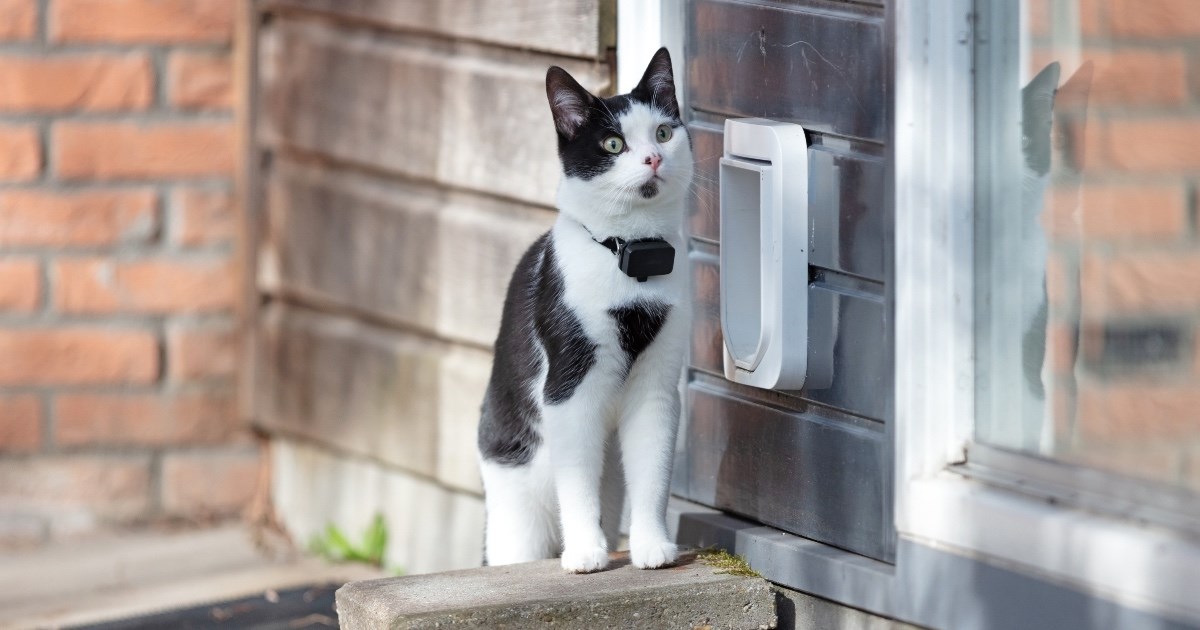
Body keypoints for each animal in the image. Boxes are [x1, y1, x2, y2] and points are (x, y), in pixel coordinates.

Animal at [472, 46, 691, 571]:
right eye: (612, 144)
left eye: (663, 132)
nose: (653, 157)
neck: (632, 257)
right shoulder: (569, 387)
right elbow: (576, 479)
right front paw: (586, 554)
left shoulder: (657, 386)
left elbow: (653, 470)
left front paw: (651, 546)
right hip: (515, 508)